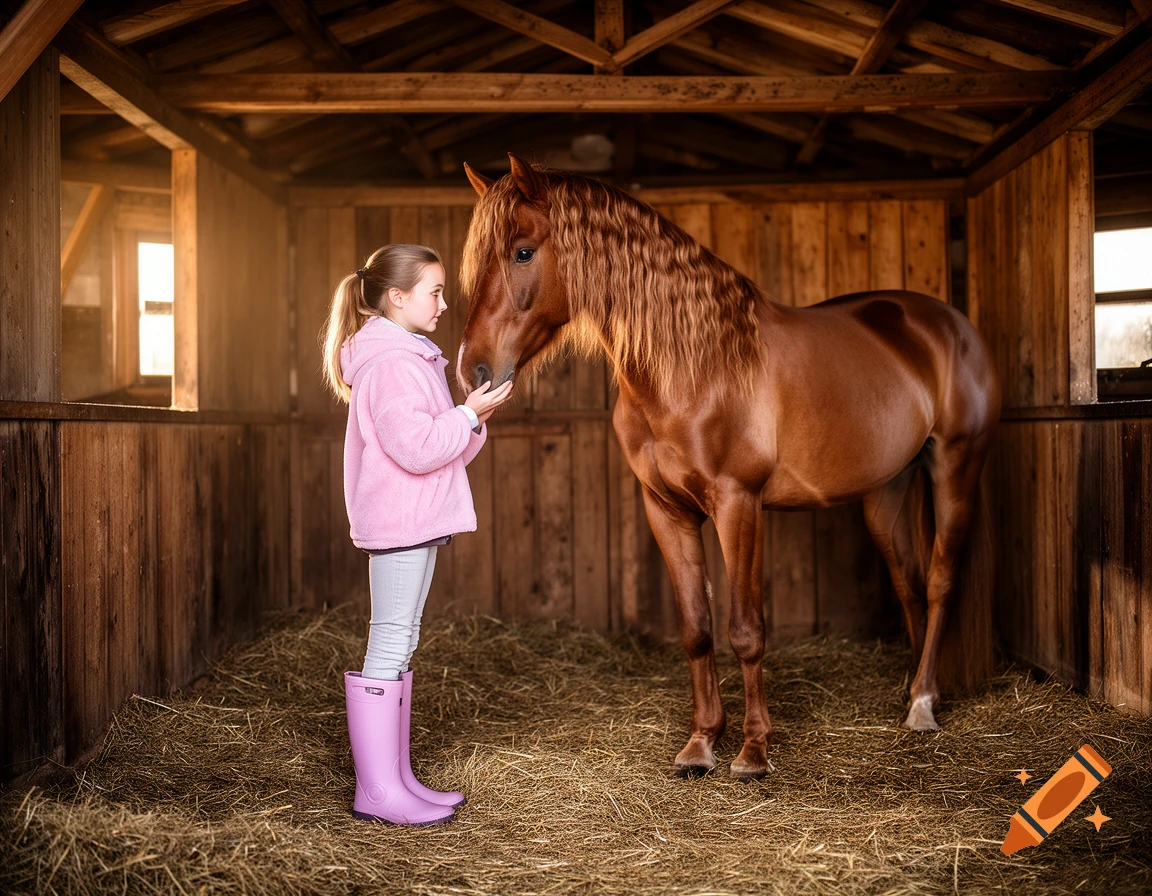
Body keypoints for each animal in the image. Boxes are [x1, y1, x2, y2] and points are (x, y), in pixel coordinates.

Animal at [457, 154, 1000, 779]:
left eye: (522, 252)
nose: (471, 370)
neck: (693, 365)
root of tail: (949, 324)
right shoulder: (666, 510)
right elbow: (697, 629)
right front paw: (700, 745)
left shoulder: (739, 503)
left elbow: (745, 630)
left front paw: (753, 752)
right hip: (886, 492)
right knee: (908, 582)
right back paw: (909, 690)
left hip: (956, 466)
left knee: (938, 582)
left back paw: (924, 705)